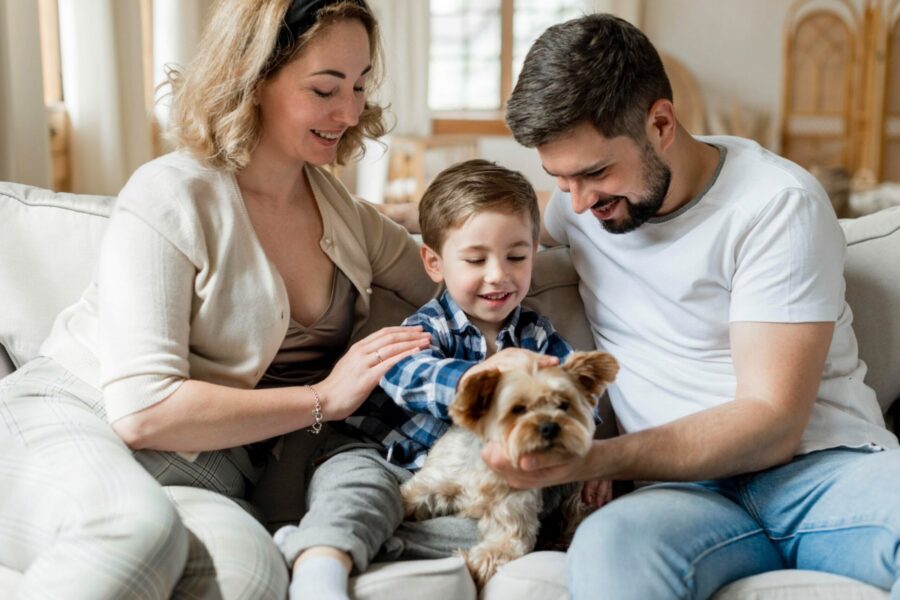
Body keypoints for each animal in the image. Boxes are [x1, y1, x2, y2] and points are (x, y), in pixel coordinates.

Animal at [400, 350, 620, 588]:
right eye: (518, 409)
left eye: (563, 404)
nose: (550, 427)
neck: (488, 468)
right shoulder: (437, 480)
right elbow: (408, 497)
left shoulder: (513, 515)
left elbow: (490, 555)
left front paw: (469, 563)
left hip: (576, 494)